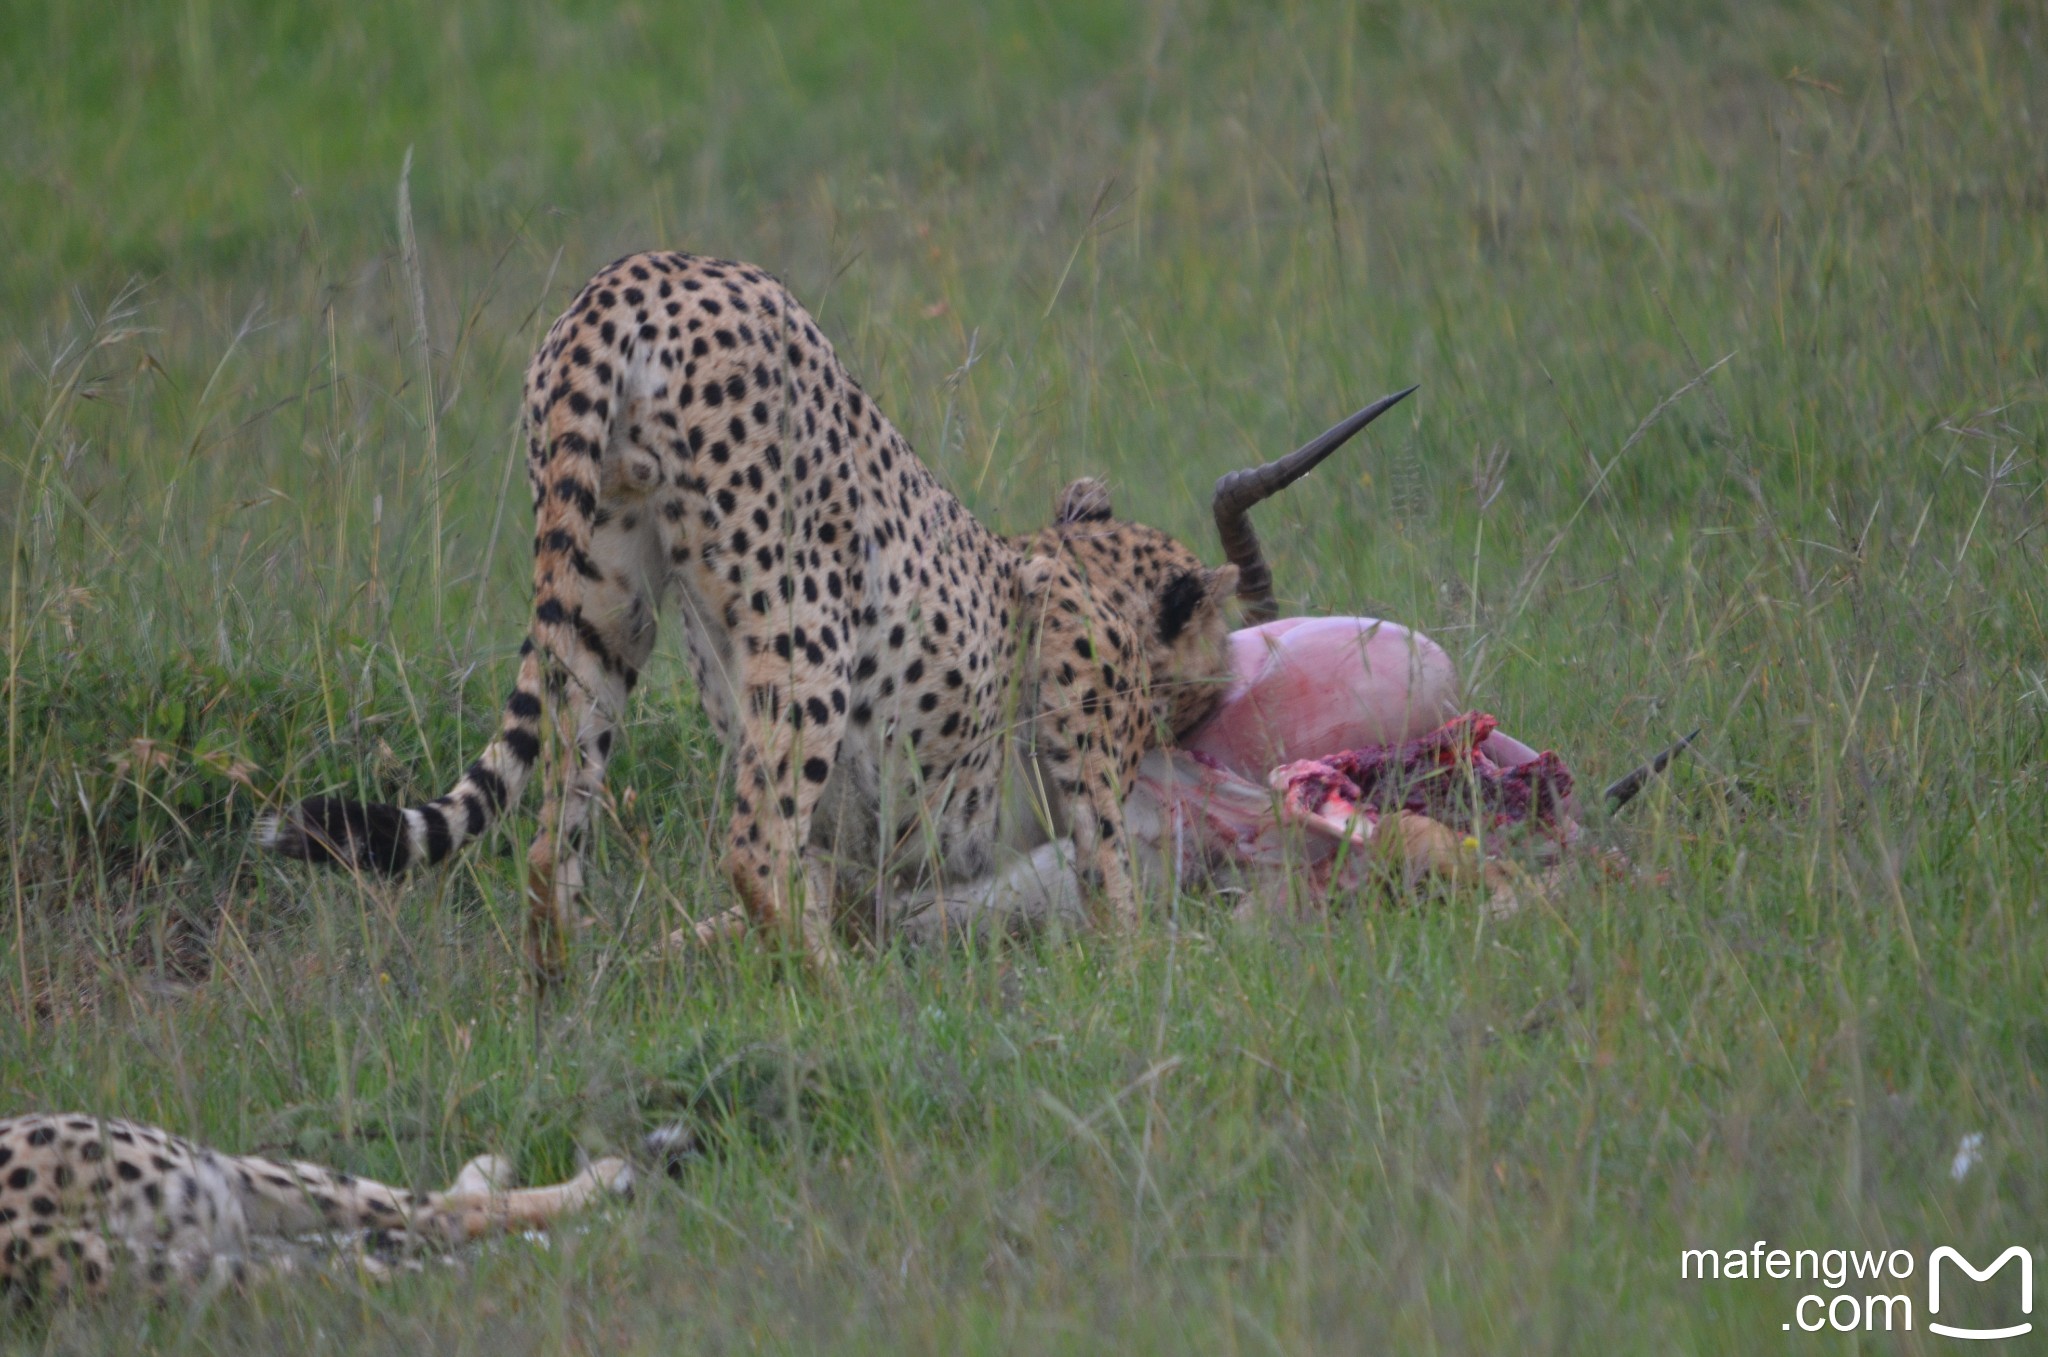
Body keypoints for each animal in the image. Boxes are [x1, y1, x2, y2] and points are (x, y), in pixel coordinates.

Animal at [264, 249, 1392, 982]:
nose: (1214, 713)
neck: (1061, 558)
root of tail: (638, 273)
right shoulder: (1072, 698)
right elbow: (1105, 868)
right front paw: (1150, 972)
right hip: (802, 634)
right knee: (750, 845)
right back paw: (834, 1009)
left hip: (602, 605)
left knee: (552, 844)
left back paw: (561, 1009)